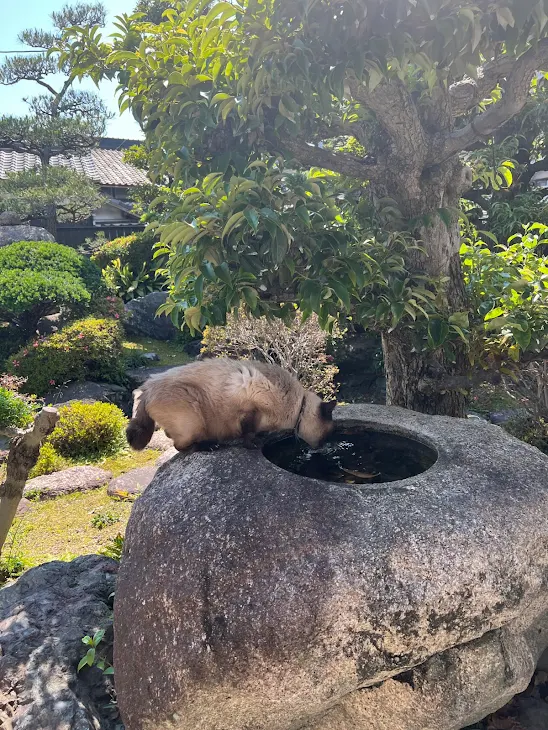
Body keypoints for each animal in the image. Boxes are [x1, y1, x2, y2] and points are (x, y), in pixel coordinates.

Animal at [126, 356, 336, 452]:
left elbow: (256, 431)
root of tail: (147, 386)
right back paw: (208, 446)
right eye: (327, 435)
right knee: (179, 446)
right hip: (193, 420)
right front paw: (252, 444)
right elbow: (248, 433)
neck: (298, 406)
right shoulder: (250, 409)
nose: (324, 446)